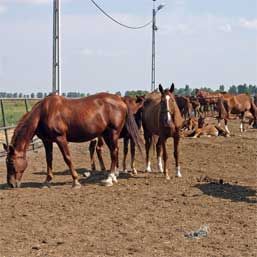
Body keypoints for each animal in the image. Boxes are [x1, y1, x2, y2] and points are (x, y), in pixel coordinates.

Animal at [2, 92, 142, 188]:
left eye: (10, 163)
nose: (11, 184)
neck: (43, 113)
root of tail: (121, 100)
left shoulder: (60, 138)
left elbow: (67, 158)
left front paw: (75, 181)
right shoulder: (47, 141)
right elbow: (49, 159)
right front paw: (47, 181)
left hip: (112, 133)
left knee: (114, 152)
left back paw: (109, 178)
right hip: (107, 135)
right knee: (114, 151)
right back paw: (113, 176)